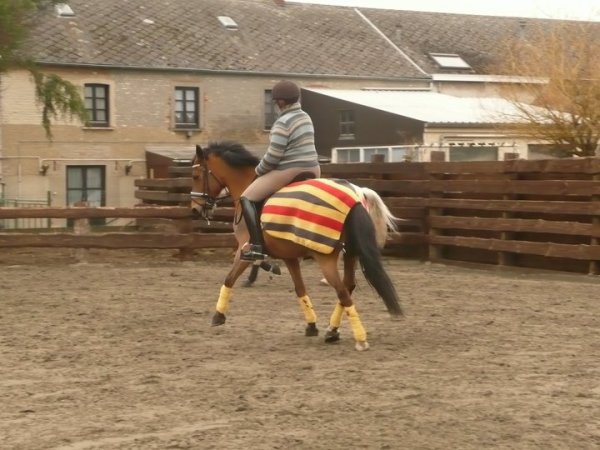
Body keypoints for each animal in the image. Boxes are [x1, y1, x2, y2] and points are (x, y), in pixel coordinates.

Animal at [191, 141, 403, 351]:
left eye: (196, 176)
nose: (194, 209)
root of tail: (355, 197)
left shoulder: (245, 249)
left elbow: (229, 278)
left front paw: (218, 315)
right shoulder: (289, 257)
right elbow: (300, 289)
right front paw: (311, 325)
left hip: (326, 258)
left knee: (343, 291)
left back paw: (359, 338)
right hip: (350, 252)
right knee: (348, 286)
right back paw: (332, 331)